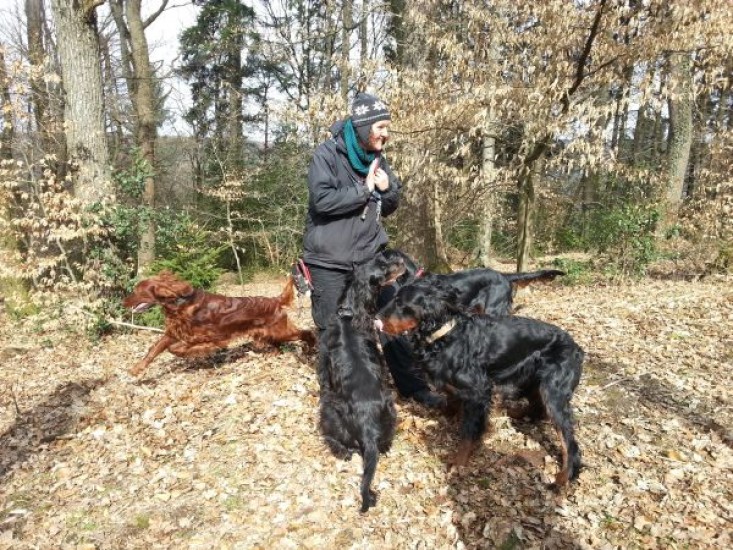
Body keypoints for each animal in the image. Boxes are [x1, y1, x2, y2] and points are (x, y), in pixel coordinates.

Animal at [123, 271, 316, 377]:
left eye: (137, 292)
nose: (123, 302)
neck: (179, 303)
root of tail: (275, 300)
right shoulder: (173, 332)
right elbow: (154, 350)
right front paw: (136, 369)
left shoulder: (209, 337)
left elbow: (177, 348)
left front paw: (198, 353)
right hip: (264, 334)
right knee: (276, 344)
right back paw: (273, 354)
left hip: (280, 330)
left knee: (306, 333)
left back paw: (310, 348)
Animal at [318, 252, 405, 512]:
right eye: (383, 266)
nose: (401, 261)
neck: (349, 313)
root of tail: (368, 427)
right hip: (391, 408)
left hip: (329, 406)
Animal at [377, 278, 583, 486]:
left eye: (400, 303)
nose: (376, 318)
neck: (445, 335)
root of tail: (576, 348)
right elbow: (451, 401)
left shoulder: (478, 390)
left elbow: (469, 431)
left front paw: (458, 462)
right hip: (532, 379)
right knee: (537, 407)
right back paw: (515, 412)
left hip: (552, 391)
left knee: (567, 438)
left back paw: (564, 475)